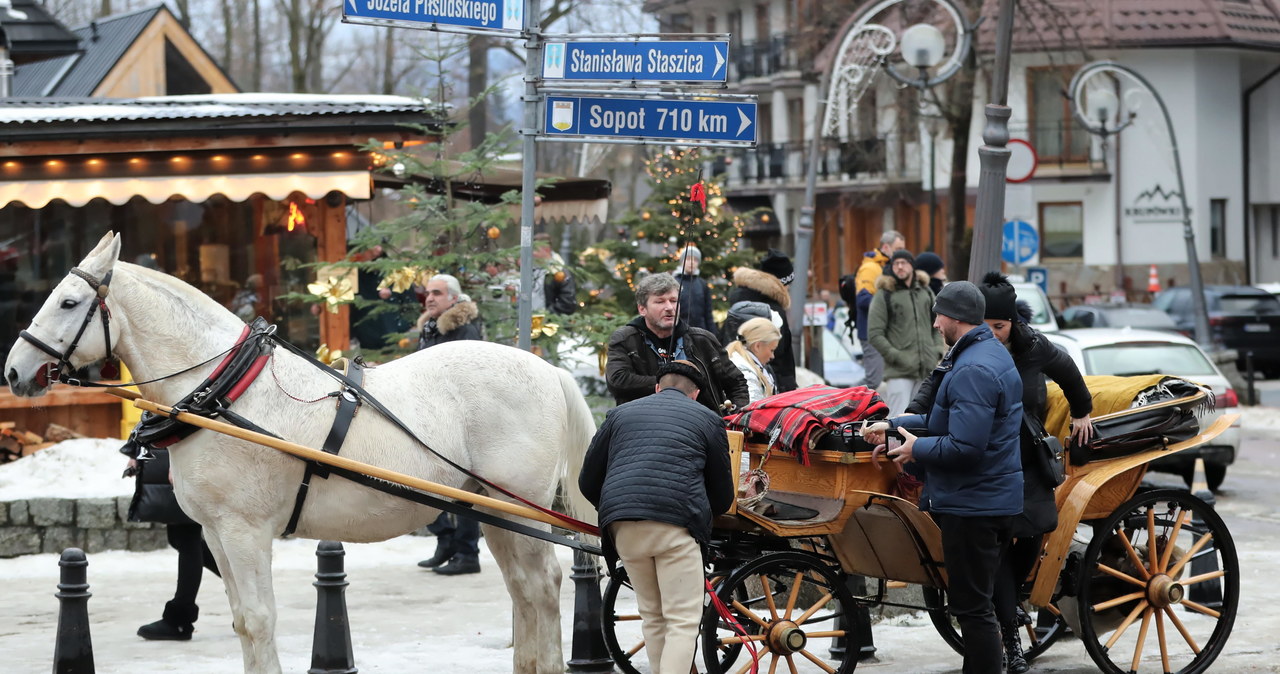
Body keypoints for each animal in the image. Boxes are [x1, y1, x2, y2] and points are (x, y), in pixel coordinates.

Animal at [5, 234, 596, 674]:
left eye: (68, 302)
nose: (14, 371)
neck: (224, 392)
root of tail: (547, 369)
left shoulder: (244, 531)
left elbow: (259, 619)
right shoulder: (215, 532)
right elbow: (241, 620)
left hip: (515, 508)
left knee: (543, 587)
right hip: (493, 510)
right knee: (523, 592)